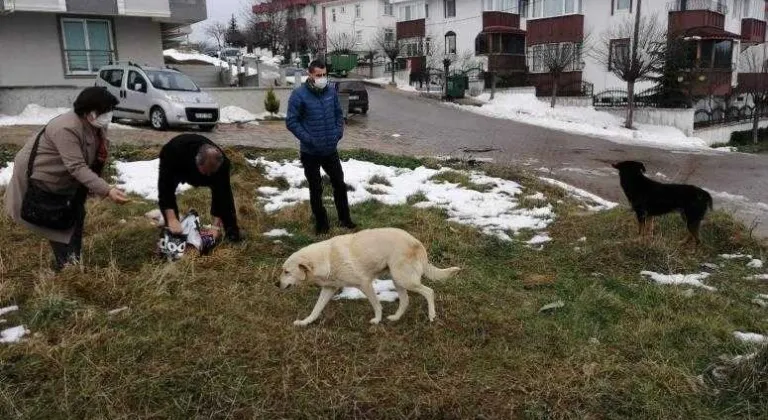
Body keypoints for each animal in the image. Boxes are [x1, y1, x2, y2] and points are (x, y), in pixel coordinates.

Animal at [282, 228, 462, 326]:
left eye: (286, 272)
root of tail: (417, 241)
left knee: (429, 291)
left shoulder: (365, 284)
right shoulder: (329, 288)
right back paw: (395, 317)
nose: (277, 284)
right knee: (405, 300)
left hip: (403, 279)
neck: (326, 259)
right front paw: (305, 322)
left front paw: (376, 320)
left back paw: (431, 315)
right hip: (397, 279)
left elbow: (377, 305)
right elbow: (315, 310)